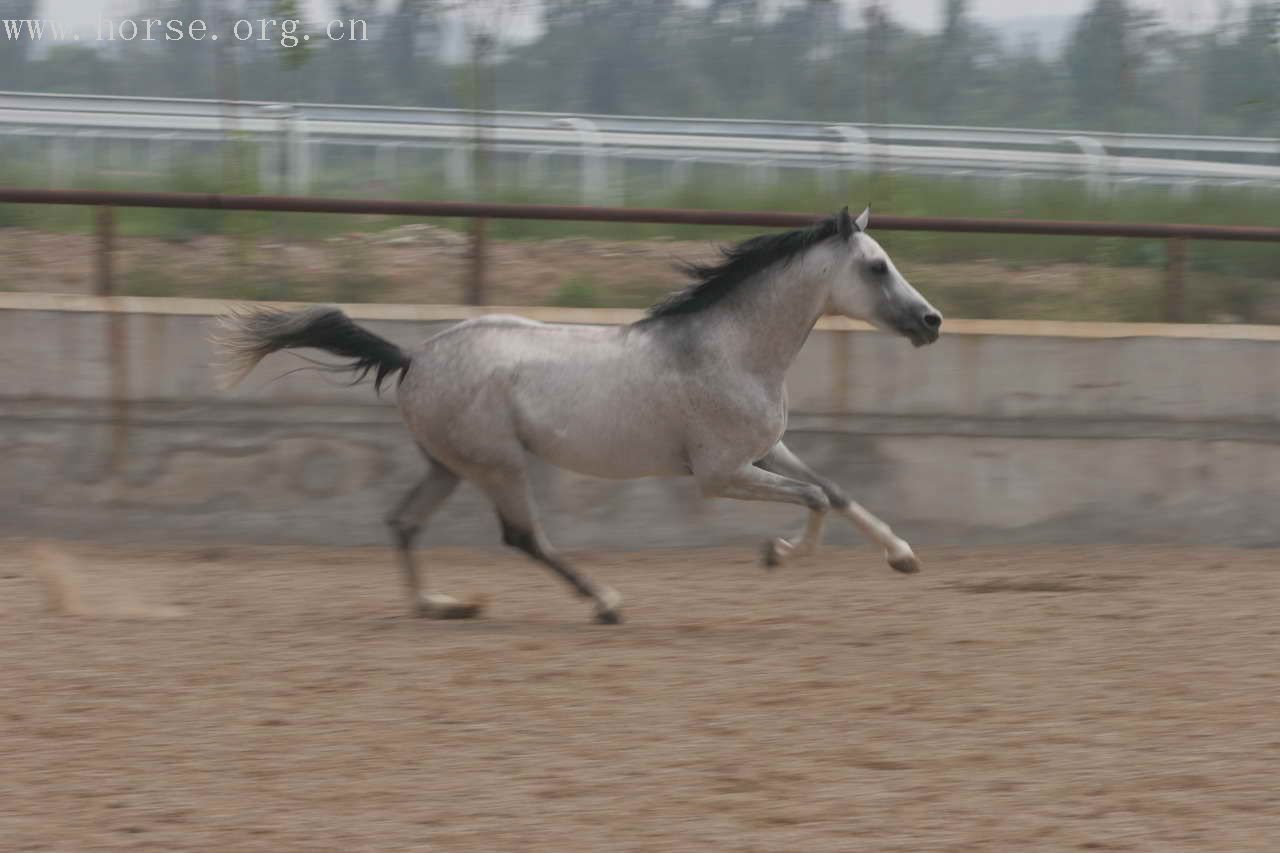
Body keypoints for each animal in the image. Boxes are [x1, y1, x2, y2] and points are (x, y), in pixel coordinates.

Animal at [217, 204, 942, 617]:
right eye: (877, 267)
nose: (931, 321)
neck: (730, 349)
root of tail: (413, 357)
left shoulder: (765, 450)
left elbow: (835, 490)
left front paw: (904, 556)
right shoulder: (720, 473)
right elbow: (814, 501)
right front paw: (777, 553)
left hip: (449, 465)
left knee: (403, 522)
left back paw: (438, 604)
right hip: (499, 464)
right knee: (523, 537)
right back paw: (604, 601)